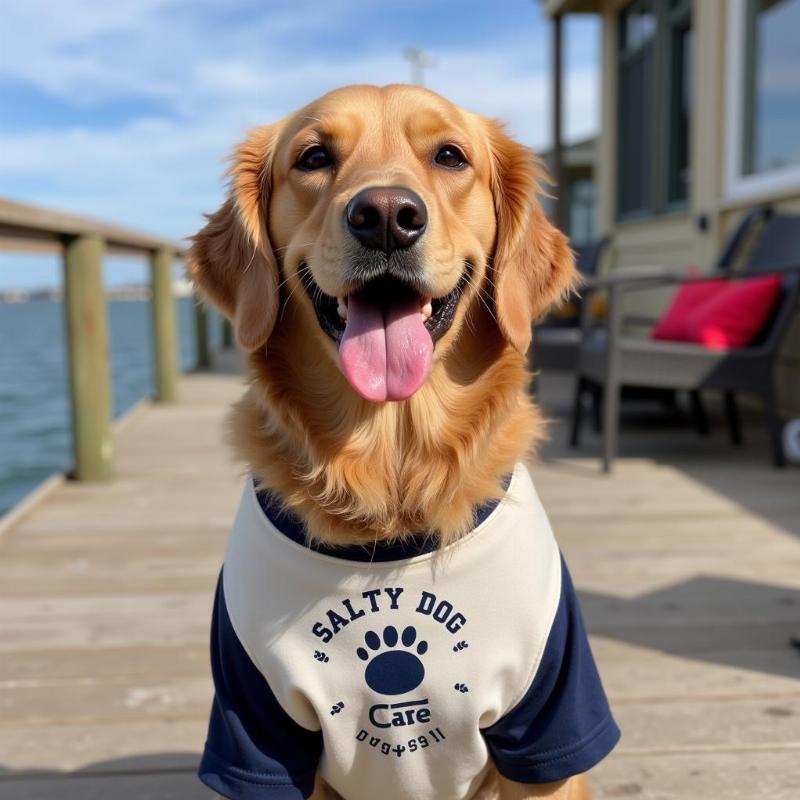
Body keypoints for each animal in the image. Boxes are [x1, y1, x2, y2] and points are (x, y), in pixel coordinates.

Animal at [191, 84, 616, 800]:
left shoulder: (548, 721)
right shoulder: (258, 727)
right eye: (314, 157)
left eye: (450, 156)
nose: (387, 216)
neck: (391, 475)